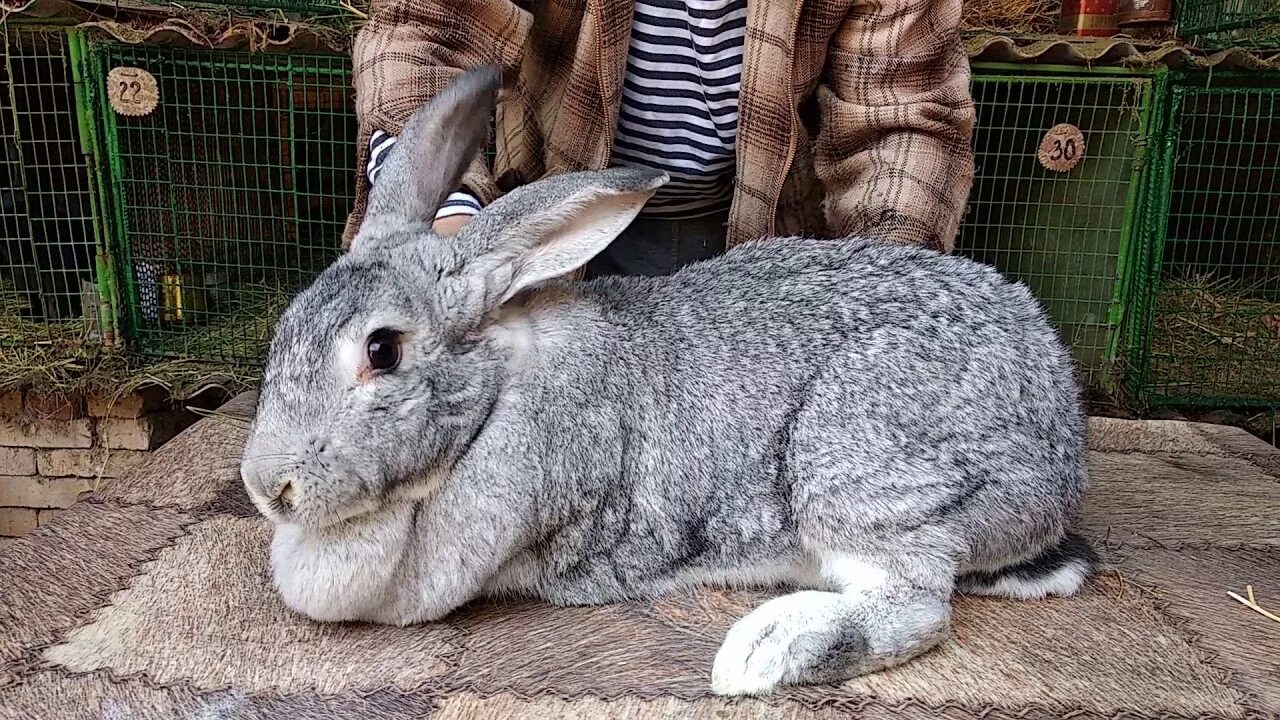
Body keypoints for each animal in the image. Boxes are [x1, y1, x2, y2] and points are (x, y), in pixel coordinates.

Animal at [241, 65, 1100, 696]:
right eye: (288, 325)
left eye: (382, 351)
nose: (267, 487)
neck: (497, 391)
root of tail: (1063, 443)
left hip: (857, 457)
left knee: (918, 604)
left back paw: (764, 652)